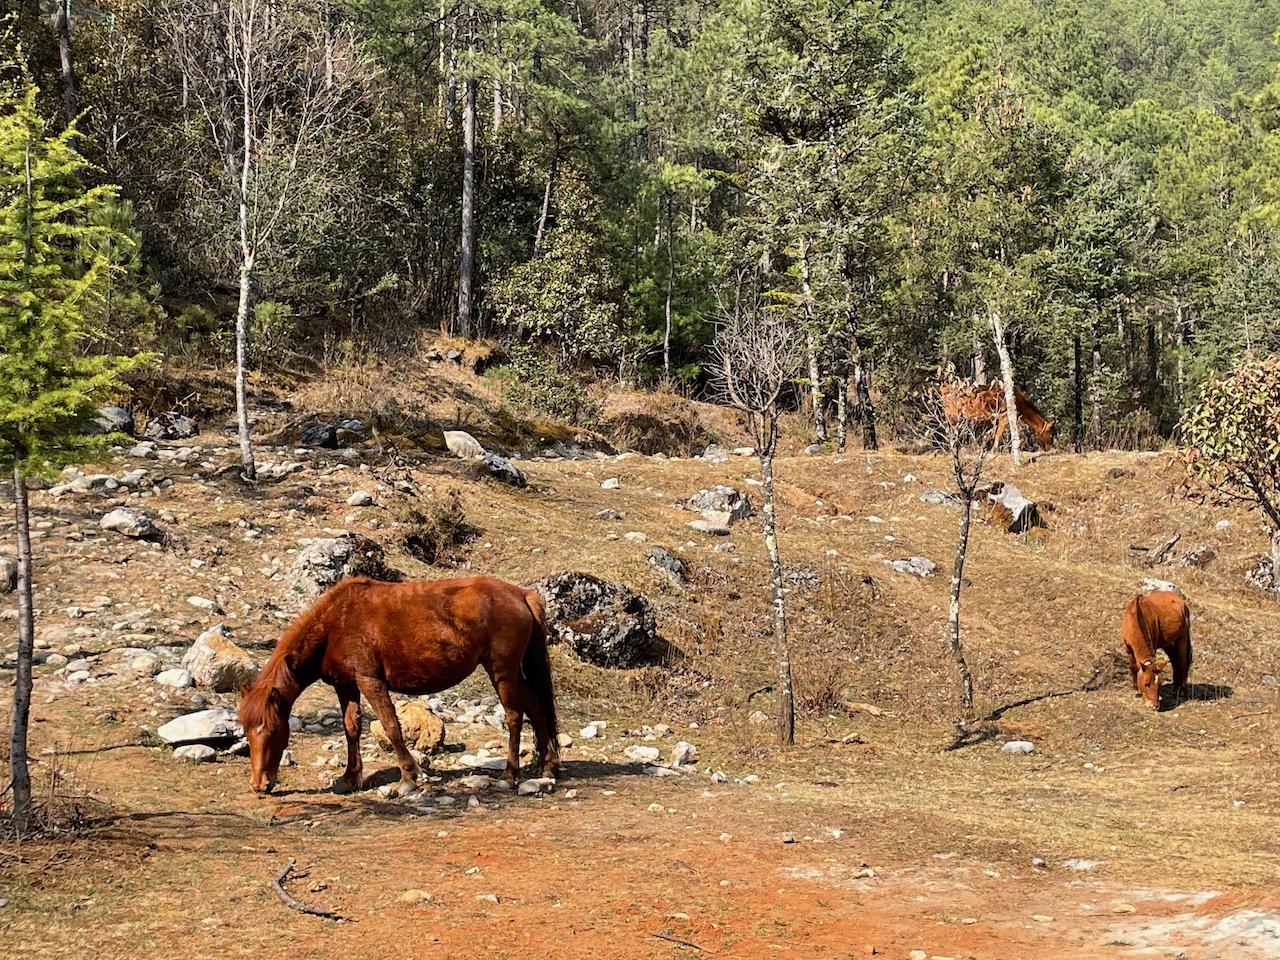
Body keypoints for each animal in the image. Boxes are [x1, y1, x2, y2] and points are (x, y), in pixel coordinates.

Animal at [238, 575, 560, 794]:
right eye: (247, 732)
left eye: (272, 730)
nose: (259, 784)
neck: (335, 623)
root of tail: (521, 594)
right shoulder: (346, 686)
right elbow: (351, 728)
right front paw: (349, 778)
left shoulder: (370, 682)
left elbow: (391, 726)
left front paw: (408, 778)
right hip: (512, 673)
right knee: (536, 708)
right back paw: (548, 765)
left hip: (501, 671)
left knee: (515, 716)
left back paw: (510, 774)